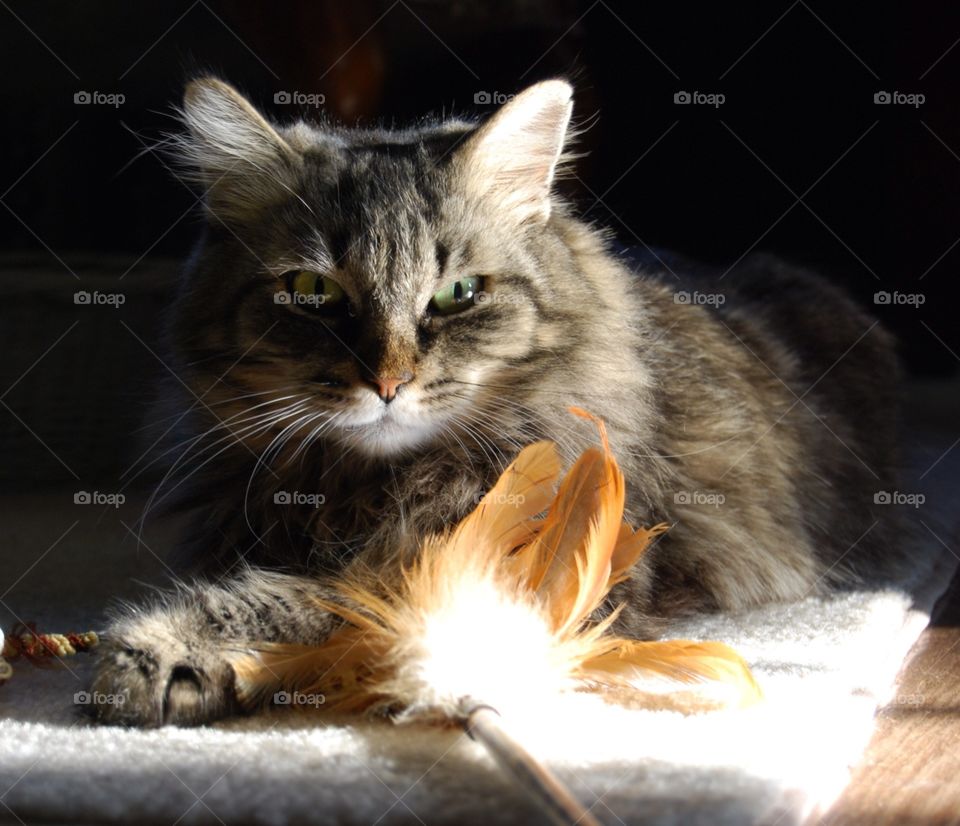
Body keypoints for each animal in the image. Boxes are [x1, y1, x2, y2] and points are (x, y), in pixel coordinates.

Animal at [90, 77, 900, 720]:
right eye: (313, 291)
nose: (388, 383)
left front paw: (163, 649)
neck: (364, 488)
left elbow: (321, 598)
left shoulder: (502, 565)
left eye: (458, 294)